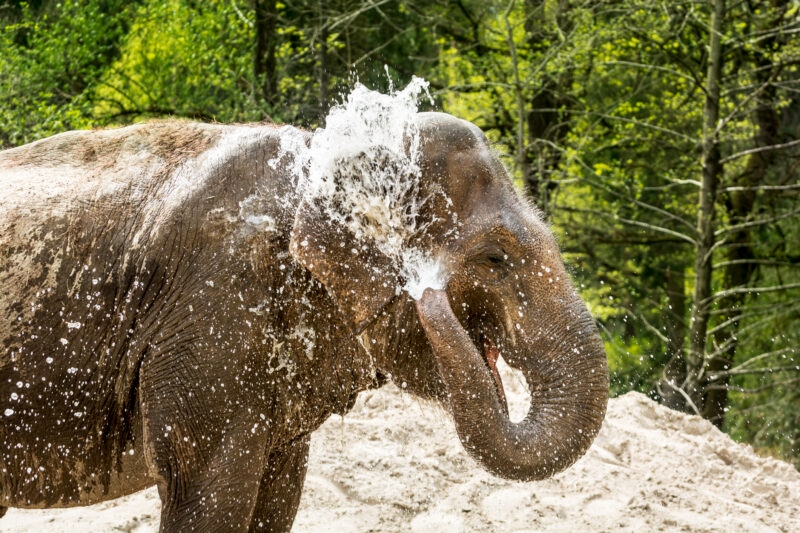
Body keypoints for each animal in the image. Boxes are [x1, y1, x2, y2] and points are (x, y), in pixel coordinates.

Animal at [0, 109, 608, 531]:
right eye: (495, 258)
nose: (429, 294)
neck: (317, 157)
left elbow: (278, 496)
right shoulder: (210, 315)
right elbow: (206, 489)